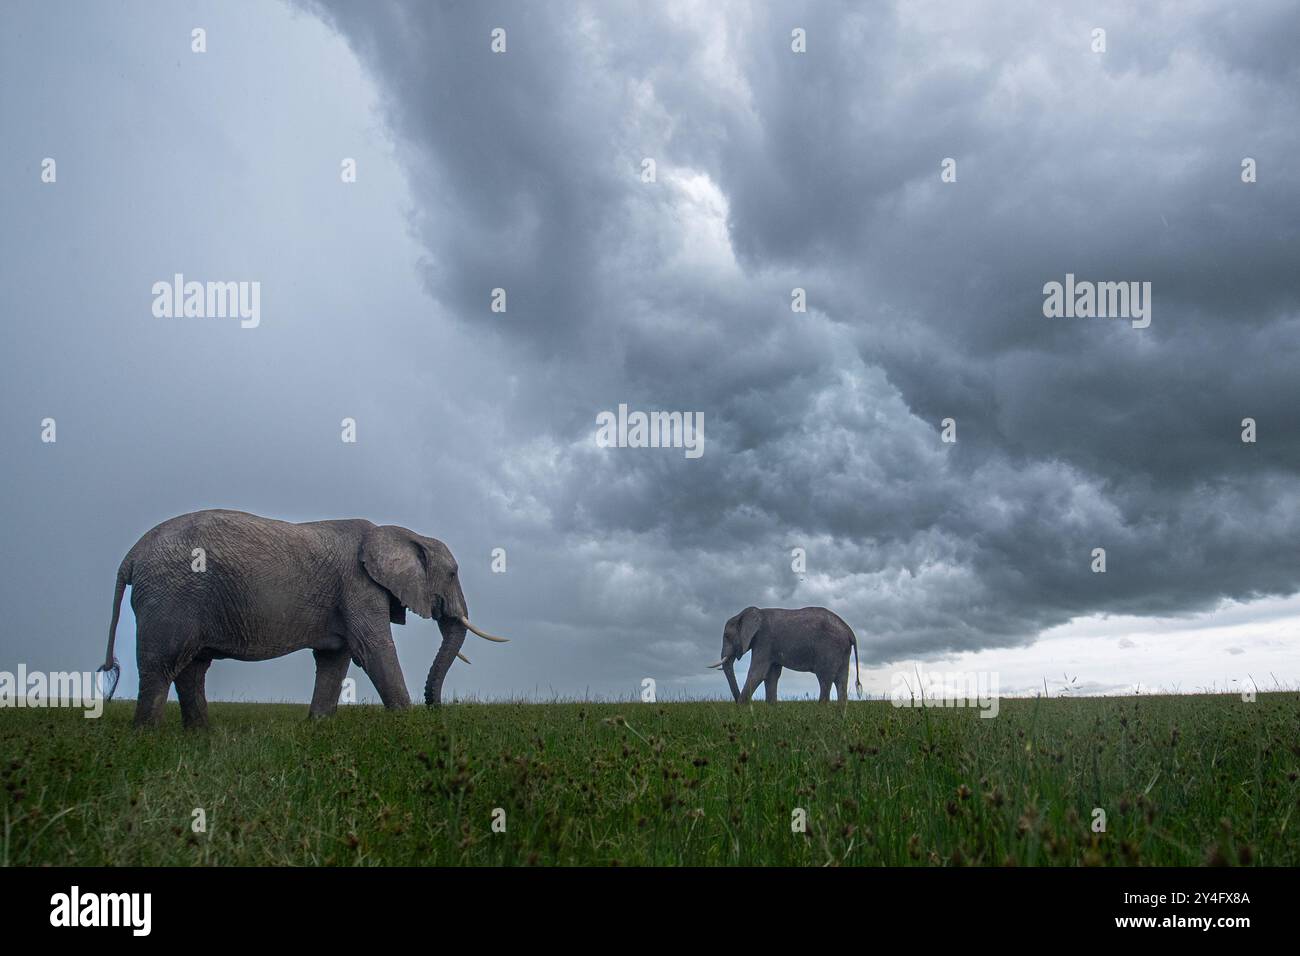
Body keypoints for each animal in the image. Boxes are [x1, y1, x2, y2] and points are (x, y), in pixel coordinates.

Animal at [100, 512, 506, 728]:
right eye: (452, 573)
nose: (438, 709)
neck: (397, 532)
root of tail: (130, 557)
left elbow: (335, 660)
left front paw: (318, 727)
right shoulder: (358, 587)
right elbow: (373, 650)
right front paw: (406, 725)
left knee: (192, 667)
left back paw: (201, 734)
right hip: (172, 595)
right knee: (163, 663)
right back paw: (147, 736)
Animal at [712, 606, 863, 702]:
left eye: (727, 636)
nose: (737, 701)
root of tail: (849, 631)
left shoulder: (764, 640)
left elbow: (757, 673)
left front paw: (741, 710)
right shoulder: (770, 646)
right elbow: (771, 675)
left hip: (829, 649)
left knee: (825, 679)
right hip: (843, 651)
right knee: (841, 681)